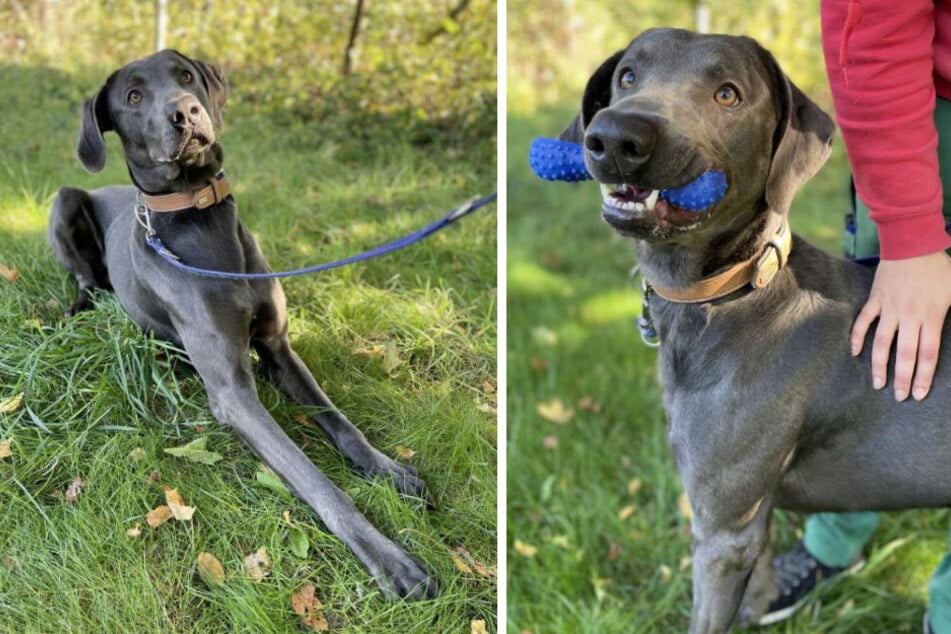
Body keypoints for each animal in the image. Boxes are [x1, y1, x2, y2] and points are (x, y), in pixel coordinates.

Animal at [47, 49, 438, 596]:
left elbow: (341, 423)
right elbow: (315, 479)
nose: (186, 112)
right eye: (134, 96)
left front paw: (388, 471)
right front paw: (391, 559)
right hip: (65, 198)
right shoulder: (233, 393)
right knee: (86, 279)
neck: (200, 221)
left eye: (186, 76)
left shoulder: (279, 349)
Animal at [556, 27, 951, 628]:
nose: (617, 138)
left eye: (727, 94)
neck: (731, 296)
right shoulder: (749, 525)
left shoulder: (723, 532)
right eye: (627, 76)